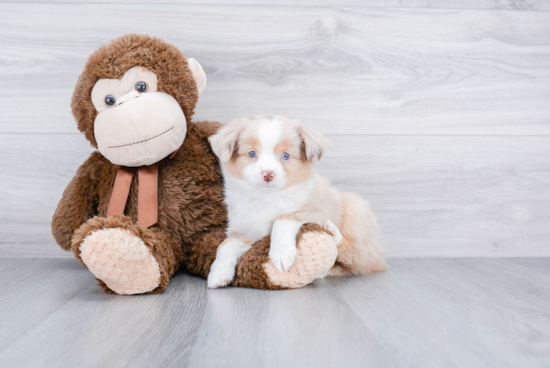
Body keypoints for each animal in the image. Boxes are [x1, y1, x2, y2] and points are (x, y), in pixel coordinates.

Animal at [208, 115, 388, 288]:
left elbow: (284, 217)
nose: (268, 174)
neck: (267, 197)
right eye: (252, 154)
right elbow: (226, 244)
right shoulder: (246, 232)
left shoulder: (316, 211)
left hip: (357, 210)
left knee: (362, 258)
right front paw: (218, 273)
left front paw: (281, 253)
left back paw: (334, 234)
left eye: (286, 156)